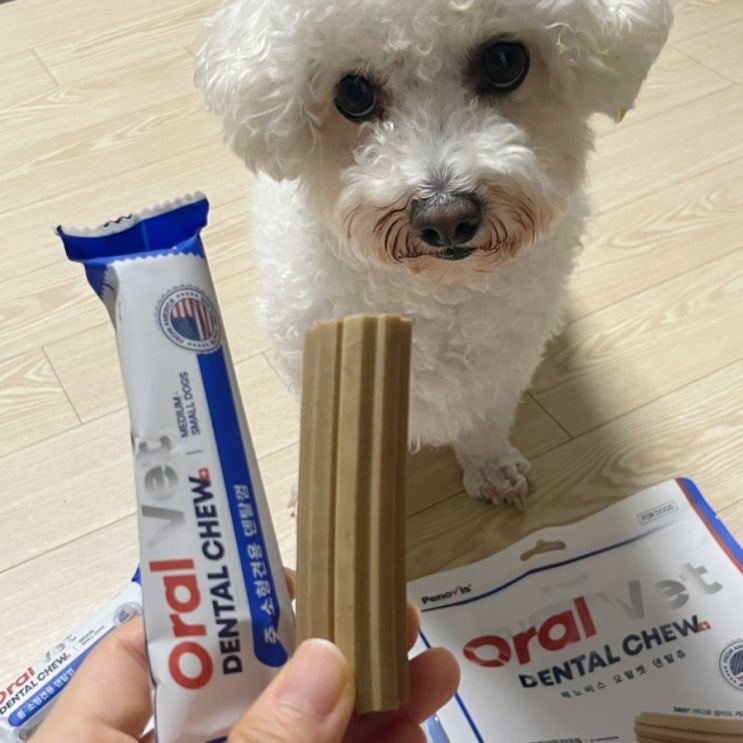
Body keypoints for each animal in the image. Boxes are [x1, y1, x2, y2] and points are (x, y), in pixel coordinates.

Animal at [195, 0, 672, 507]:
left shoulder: (501, 367)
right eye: (353, 93)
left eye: (505, 62)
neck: (437, 294)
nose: (446, 218)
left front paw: (492, 468)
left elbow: (484, 421)